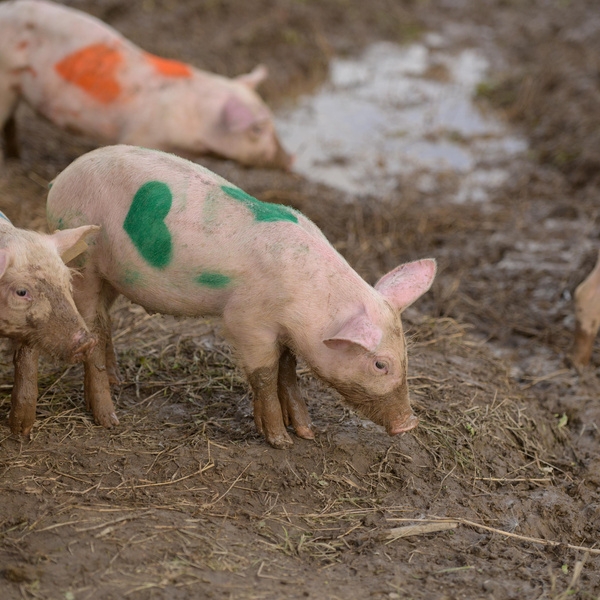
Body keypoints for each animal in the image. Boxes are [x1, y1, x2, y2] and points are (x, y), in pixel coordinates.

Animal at [0, 210, 98, 436]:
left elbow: (26, 363)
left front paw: (21, 429)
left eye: (68, 280)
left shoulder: (29, 330)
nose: (87, 342)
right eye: (21, 292)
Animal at [43, 144, 436, 446]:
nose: (409, 423)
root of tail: (60, 179)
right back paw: (109, 419)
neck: (312, 301)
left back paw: (117, 379)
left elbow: (288, 371)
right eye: (380, 364)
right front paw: (280, 440)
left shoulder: (285, 331)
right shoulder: (246, 321)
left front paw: (306, 432)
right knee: (92, 327)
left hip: (112, 277)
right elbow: (265, 373)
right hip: (84, 262)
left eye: (406, 354)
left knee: (105, 320)